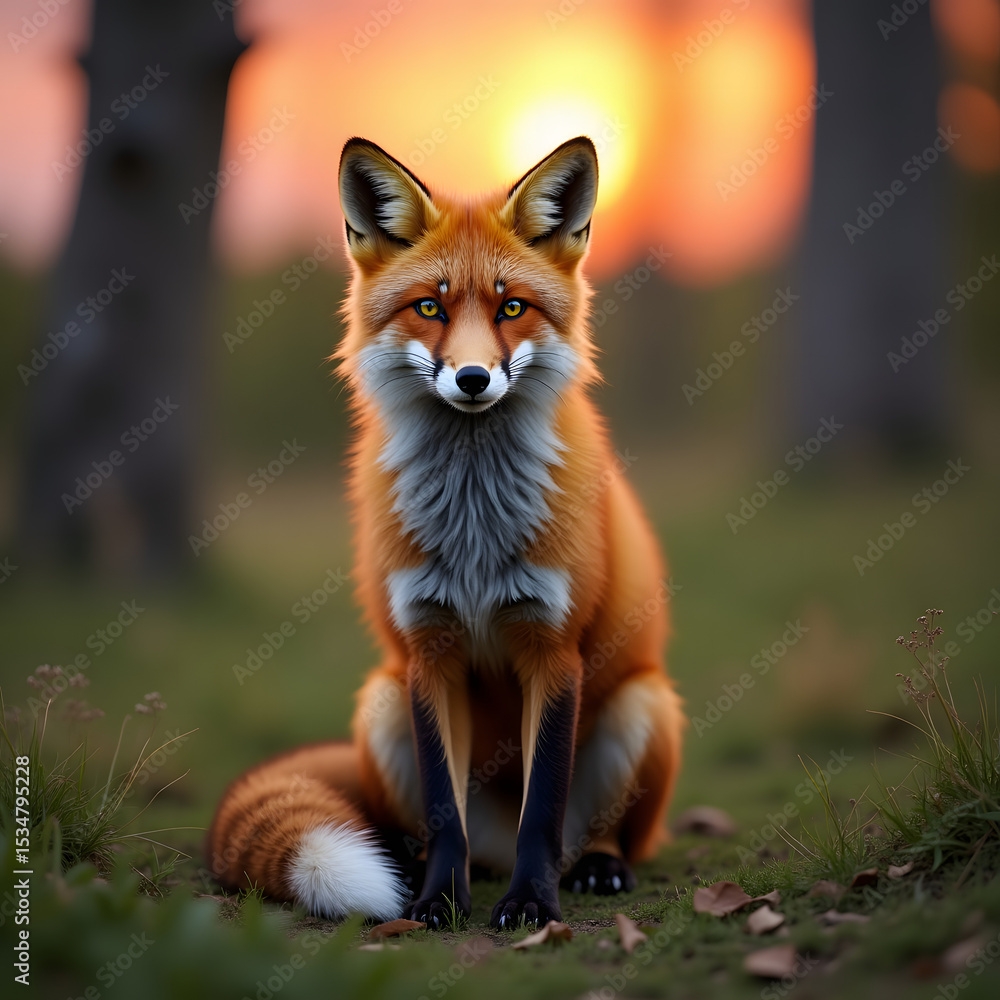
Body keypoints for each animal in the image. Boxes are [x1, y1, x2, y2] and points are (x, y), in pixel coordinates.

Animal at [207, 136, 685, 929]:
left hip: (641, 706)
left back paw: (596, 866)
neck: (475, 531)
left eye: (512, 307)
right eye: (429, 306)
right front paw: (437, 902)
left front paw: (531, 905)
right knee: (435, 831)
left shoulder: (553, 648)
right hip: (381, 701)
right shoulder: (429, 650)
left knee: (591, 834)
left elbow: (541, 809)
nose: (471, 379)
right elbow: (441, 812)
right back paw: (411, 869)